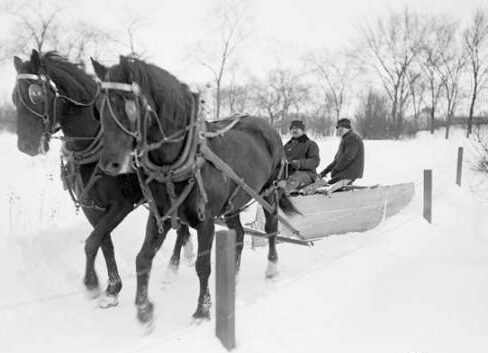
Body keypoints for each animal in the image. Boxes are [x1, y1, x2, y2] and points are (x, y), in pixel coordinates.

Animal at [11, 48, 194, 306]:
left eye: (36, 94)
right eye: (14, 98)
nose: (25, 146)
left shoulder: (121, 204)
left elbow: (91, 242)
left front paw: (92, 284)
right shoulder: (92, 206)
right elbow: (103, 242)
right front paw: (112, 288)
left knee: (178, 226)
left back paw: (173, 267)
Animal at [89, 55, 300, 324]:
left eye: (128, 104)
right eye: (98, 108)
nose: (108, 164)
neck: (174, 165)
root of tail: (269, 127)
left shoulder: (206, 220)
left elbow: (203, 266)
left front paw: (203, 309)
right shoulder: (161, 216)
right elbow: (142, 259)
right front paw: (144, 308)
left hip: (268, 193)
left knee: (271, 228)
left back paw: (272, 268)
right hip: (233, 204)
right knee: (240, 235)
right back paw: (234, 275)